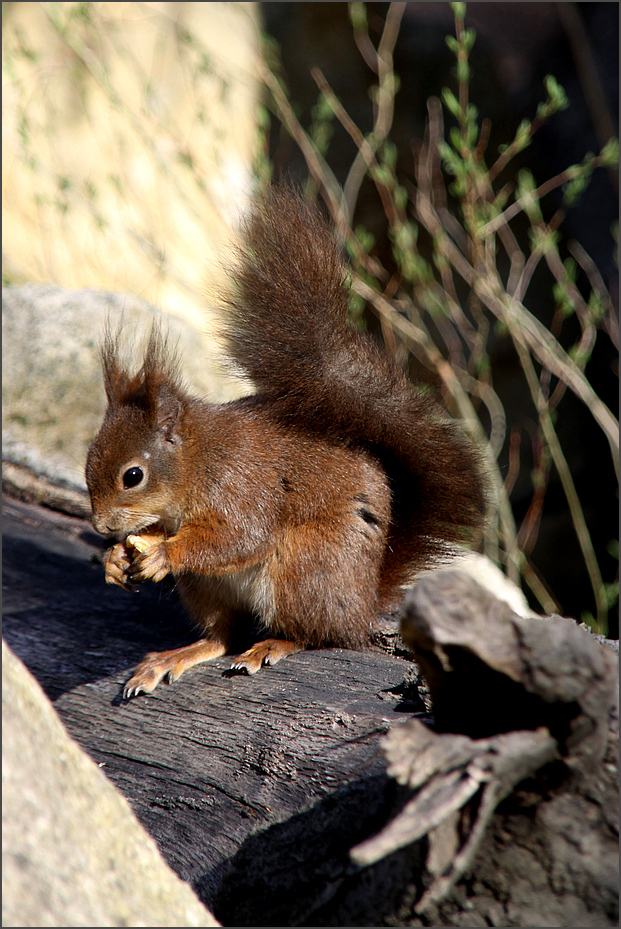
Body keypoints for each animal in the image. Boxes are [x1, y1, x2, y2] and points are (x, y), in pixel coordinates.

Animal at [85, 185, 486, 696]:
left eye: (132, 475)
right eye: (88, 461)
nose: (100, 525)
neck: (199, 460)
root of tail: (363, 603)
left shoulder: (241, 485)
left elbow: (237, 537)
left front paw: (163, 553)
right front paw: (115, 560)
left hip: (306, 565)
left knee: (313, 635)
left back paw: (272, 646)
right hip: (206, 587)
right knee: (223, 635)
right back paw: (178, 655)